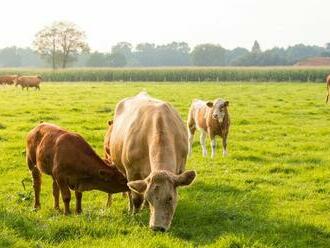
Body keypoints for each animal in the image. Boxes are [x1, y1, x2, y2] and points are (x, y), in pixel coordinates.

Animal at [109, 92, 196, 232]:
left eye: (170, 198)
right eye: (149, 198)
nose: (157, 227)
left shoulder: (180, 169)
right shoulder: (132, 172)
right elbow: (137, 198)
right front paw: (135, 215)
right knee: (129, 191)